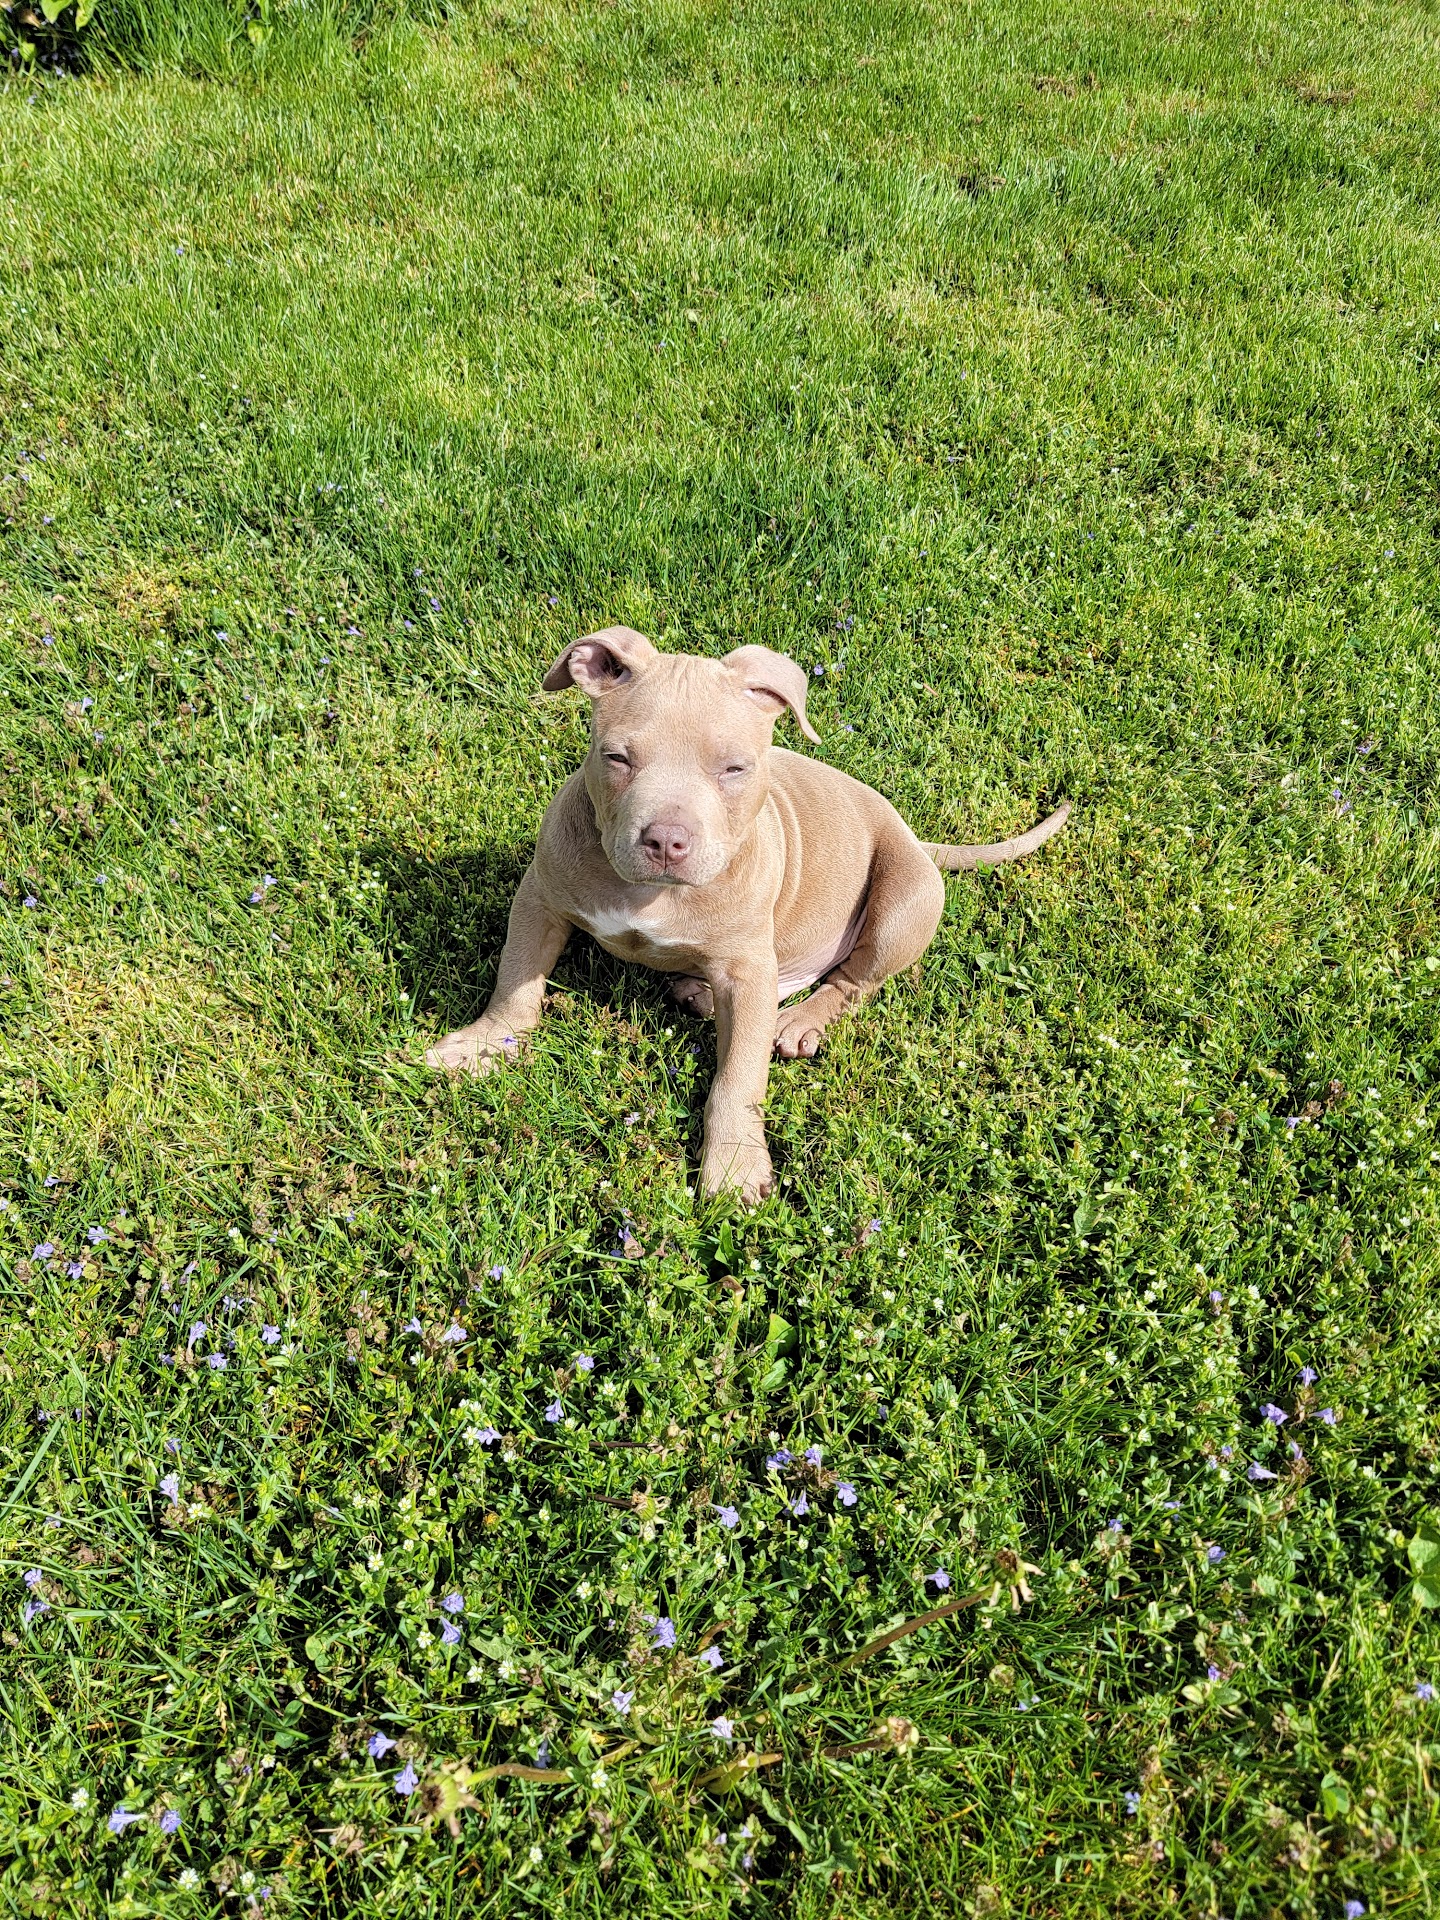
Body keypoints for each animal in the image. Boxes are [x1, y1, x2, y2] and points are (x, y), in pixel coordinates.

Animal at [426, 627, 1068, 1203]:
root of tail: (916, 837)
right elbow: (515, 982)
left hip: (903, 899)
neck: (652, 893)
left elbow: (739, 1076)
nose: (666, 840)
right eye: (616, 758)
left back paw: (798, 1022)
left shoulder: (746, 967)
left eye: (733, 769)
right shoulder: (540, 897)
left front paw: (733, 1163)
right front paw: (480, 1046)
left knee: (852, 980)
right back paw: (704, 995)